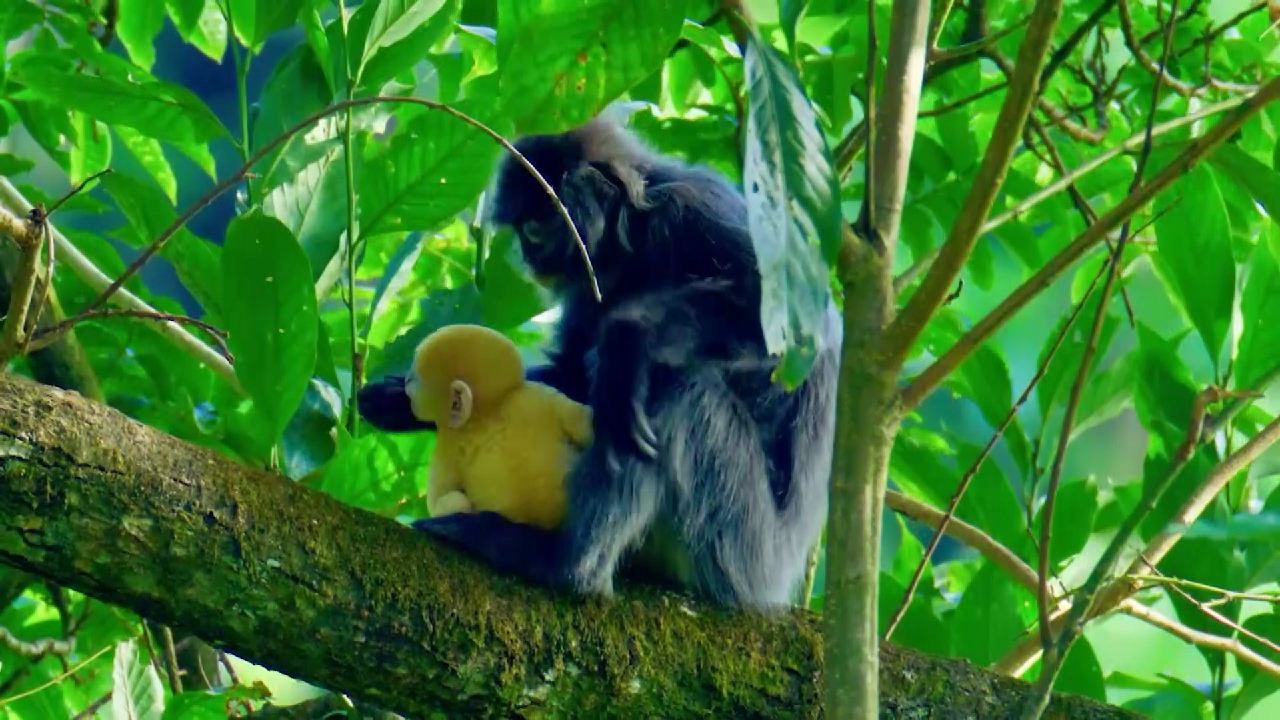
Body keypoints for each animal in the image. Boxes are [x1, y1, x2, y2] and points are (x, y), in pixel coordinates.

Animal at [358, 115, 842, 612]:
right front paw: (402, 402)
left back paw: (563, 564)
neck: (636, 243)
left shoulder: (694, 207)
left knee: (671, 390)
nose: (528, 257)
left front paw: (629, 338)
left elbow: (792, 324)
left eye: (535, 228)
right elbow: (569, 373)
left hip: (741, 541)